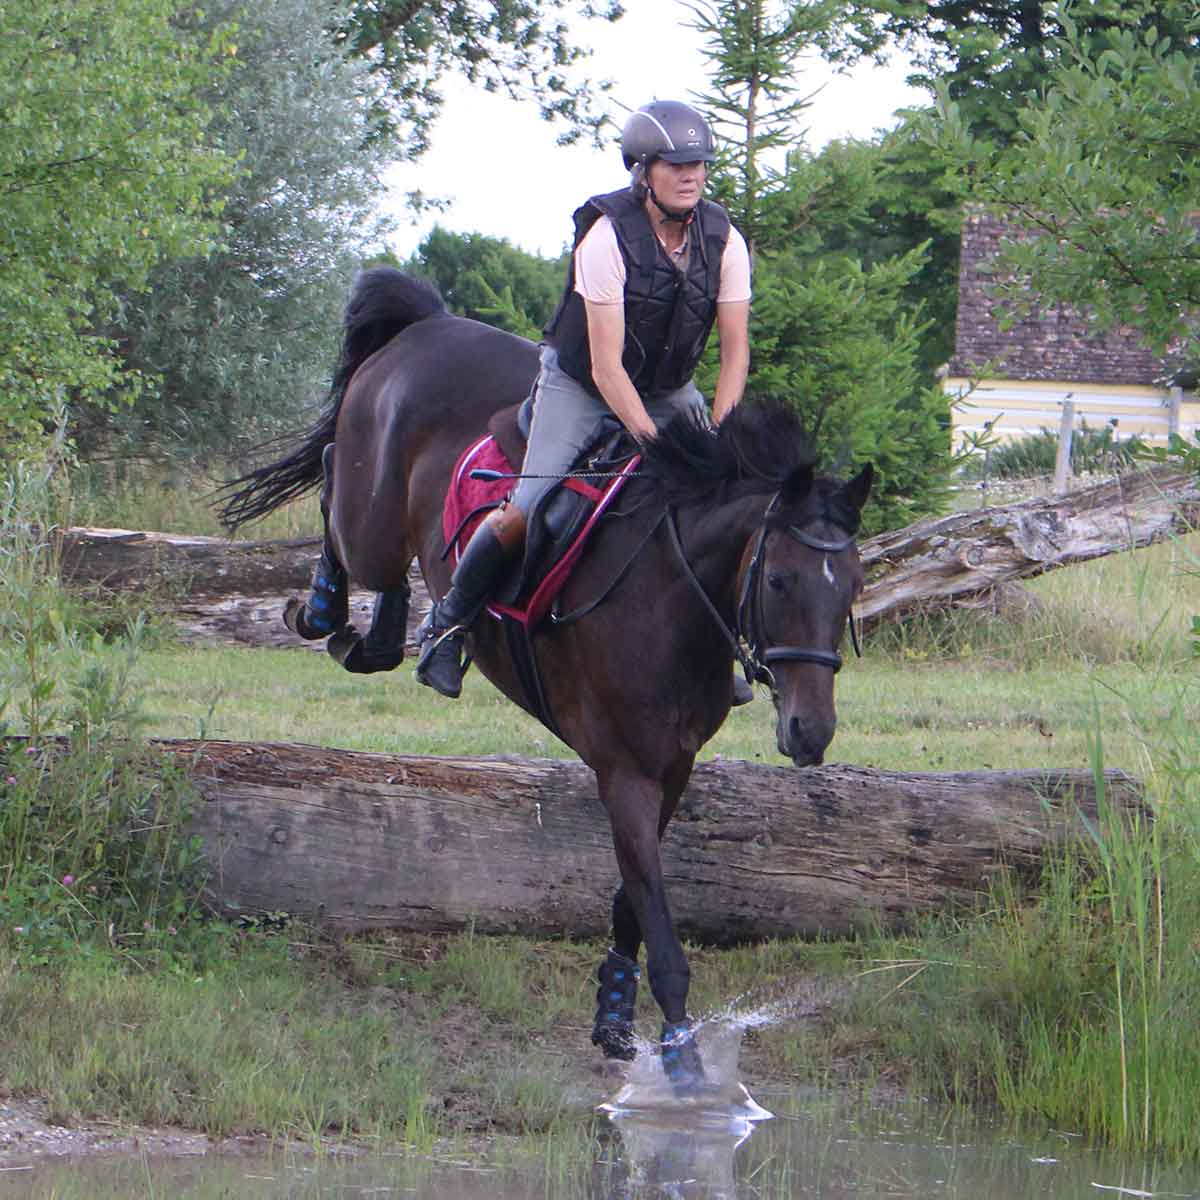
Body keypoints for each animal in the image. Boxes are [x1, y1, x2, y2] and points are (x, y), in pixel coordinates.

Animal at [220, 270, 873, 1089]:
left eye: (852, 586)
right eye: (780, 580)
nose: (811, 733)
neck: (673, 592)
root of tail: (425, 325)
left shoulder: (674, 768)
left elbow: (632, 902)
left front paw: (615, 1019)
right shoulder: (625, 771)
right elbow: (658, 919)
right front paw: (684, 1065)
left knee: (384, 607)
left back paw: (396, 634)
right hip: (369, 509)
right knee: (343, 485)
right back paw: (319, 607)